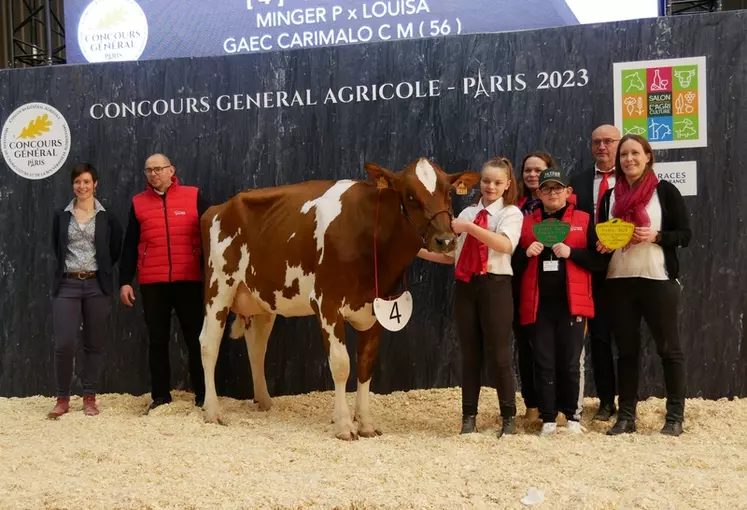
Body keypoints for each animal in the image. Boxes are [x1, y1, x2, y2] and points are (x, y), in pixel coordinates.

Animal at [199, 158, 480, 438]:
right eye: (410, 195)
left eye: (449, 192)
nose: (445, 240)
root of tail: (218, 207)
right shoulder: (328, 305)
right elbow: (341, 364)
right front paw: (345, 425)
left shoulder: (377, 310)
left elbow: (365, 365)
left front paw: (365, 424)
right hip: (219, 288)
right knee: (208, 343)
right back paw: (212, 411)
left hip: (264, 299)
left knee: (257, 346)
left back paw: (264, 401)